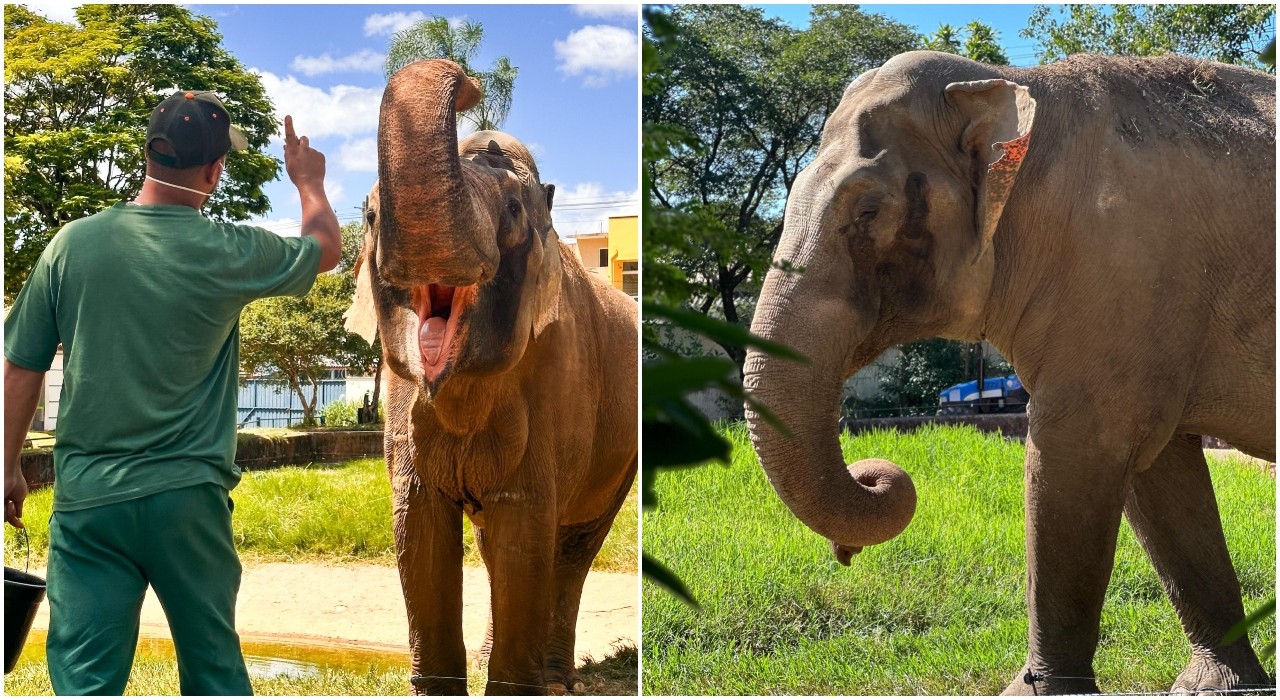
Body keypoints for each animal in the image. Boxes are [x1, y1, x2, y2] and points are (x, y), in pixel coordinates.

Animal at [344, 59, 638, 695]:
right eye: (372, 215)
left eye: (513, 212)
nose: (471, 85)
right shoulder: (403, 407)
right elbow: (418, 528)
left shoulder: (558, 379)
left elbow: (526, 525)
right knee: (493, 543)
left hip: (620, 454)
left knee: (571, 547)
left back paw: (557, 677)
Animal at [744, 51, 1274, 695]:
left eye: (868, 210)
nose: (844, 552)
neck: (1013, 83)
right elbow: (1161, 477)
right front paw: (1219, 686)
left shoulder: (1122, 274)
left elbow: (1073, 459)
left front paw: (1038, 689)